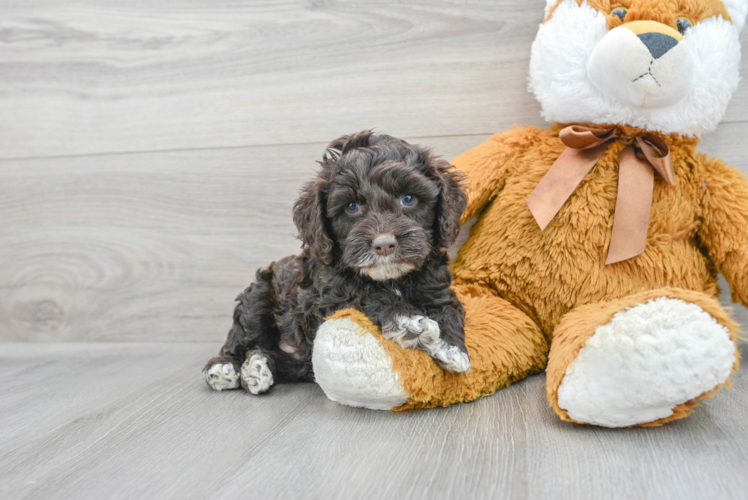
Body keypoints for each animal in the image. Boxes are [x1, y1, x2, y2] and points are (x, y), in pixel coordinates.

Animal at [203, 132, 468, 394]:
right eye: (351, 207)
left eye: (408, 199)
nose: (384, 244)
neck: (390, 277)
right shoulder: (324, 299)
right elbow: (365, 293)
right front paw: (410, 321)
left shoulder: (436, 286)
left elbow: (448, 308)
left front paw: (452, 347)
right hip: (257, 297)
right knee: (240, 339)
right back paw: (225, 368)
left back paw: (258, 367)